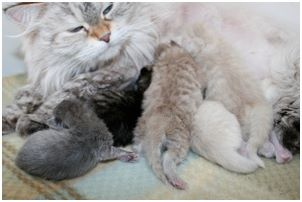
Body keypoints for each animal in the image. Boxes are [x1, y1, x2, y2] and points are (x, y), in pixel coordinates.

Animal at [134, 41, 205, 190]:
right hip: (179, 140)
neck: (172, 54)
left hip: (140, 128)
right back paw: (176, 179)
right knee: (168, 158)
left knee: (139, 146)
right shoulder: (198, 72)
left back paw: (134, 152)